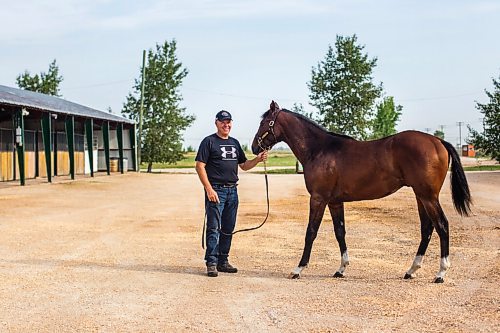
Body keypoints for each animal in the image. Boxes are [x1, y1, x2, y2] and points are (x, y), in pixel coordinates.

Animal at [252, 100, 470, 282]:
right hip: (421, 196)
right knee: (427, 228)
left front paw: (298, 269)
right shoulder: (334, 201)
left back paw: (440, 273)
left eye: (265, 123)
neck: (319, 149)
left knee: (442, 226)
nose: (254, 148)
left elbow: (311, 232)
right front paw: (341, 269)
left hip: (428, 197)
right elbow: (340, 232)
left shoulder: (318, 198)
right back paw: (411, 270)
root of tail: (438, 142)